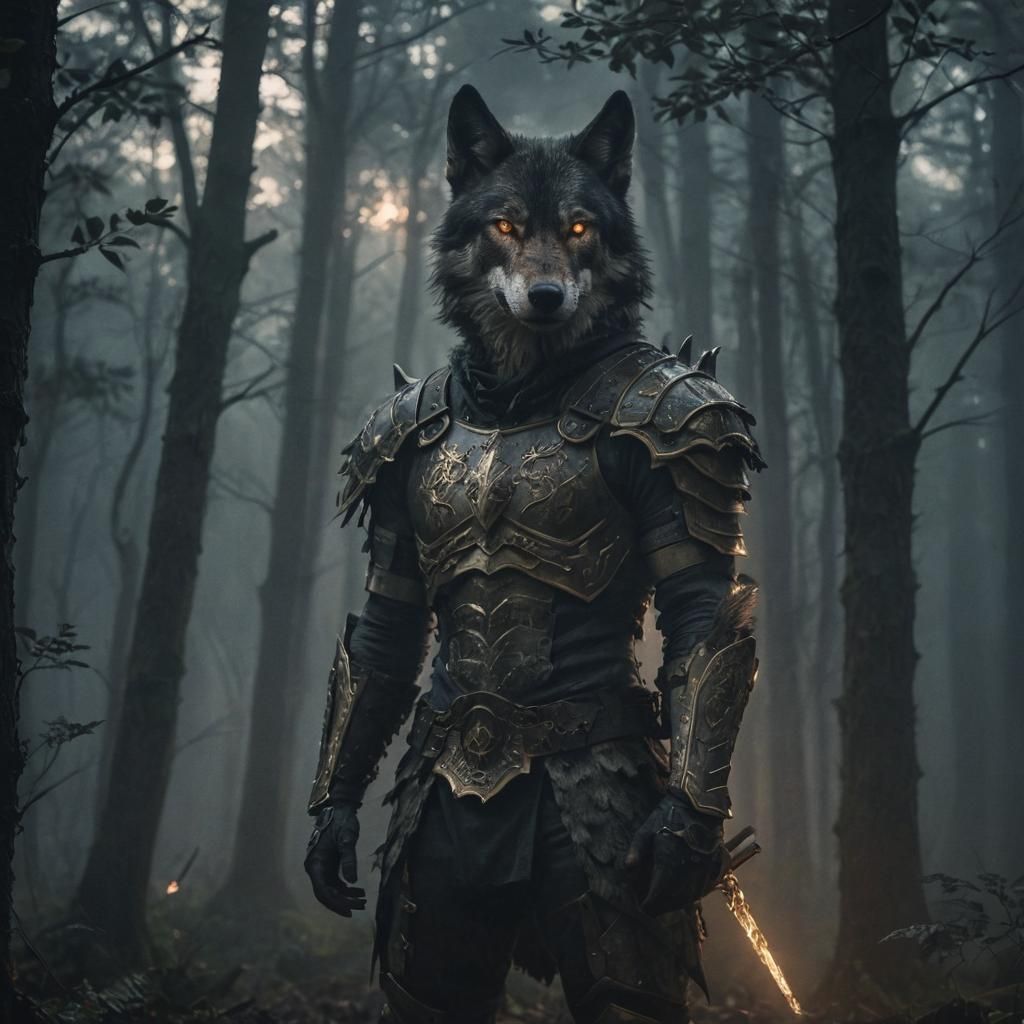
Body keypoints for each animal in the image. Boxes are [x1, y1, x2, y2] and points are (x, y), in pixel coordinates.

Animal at [303, 85, 763, 1024]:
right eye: (507, 226)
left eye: (581, 227)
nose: (546, 294)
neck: (519, 391)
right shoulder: (388, 448)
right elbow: (382, 638)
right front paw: (330, 831)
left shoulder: (689, 428)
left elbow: (702, 616)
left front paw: (681, 841)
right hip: (436, 894)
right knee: (433, 983)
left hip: (599, 895)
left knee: (624, 981)